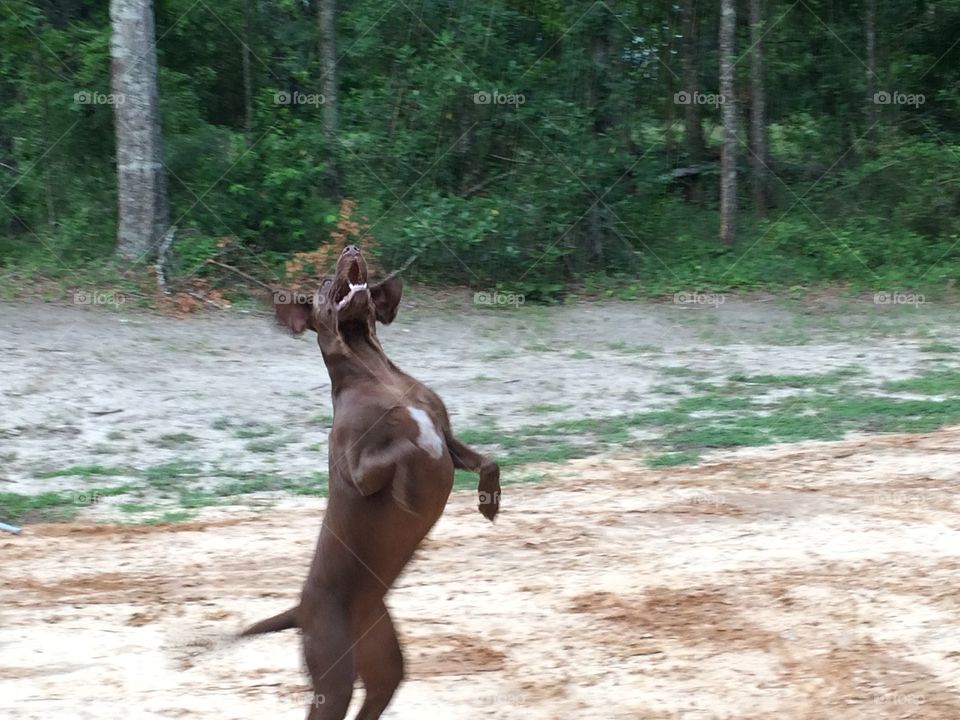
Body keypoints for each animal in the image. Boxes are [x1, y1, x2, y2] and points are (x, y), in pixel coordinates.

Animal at [238, 245, 502, 716]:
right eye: (326, 282)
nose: (351, 248)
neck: (373, 369)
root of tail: (300, 609)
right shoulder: (359, 471)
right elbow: (408, 449)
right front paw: (409, 492)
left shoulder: (447, 435)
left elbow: (486, 462)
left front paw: (490, 502)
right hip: (333, 674)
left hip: (383, 661)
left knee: (376, 696)